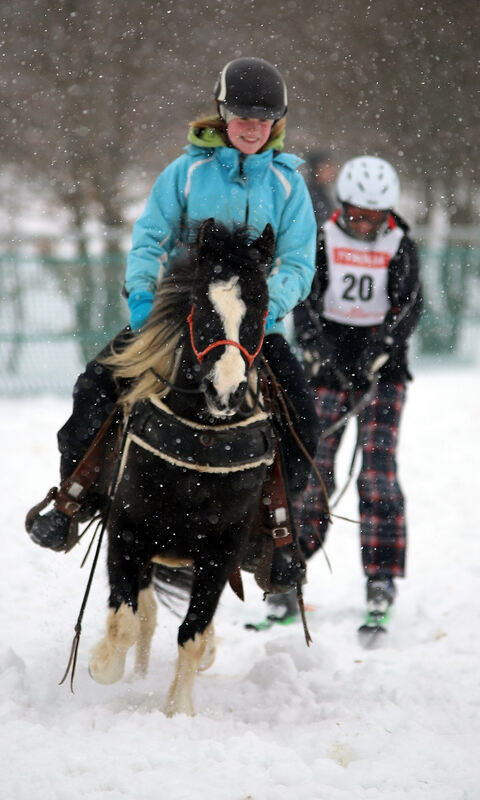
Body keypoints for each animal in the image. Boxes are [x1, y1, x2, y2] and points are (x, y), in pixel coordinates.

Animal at [89, 220, 276, 720]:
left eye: (261, 309)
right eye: (201, 305)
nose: (225, 391)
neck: (201, 444)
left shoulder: (221, 551)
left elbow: (192, 634)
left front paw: (178, 710)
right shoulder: (126, 532)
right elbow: (125, 623)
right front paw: (100, 666)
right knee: (146, 615)